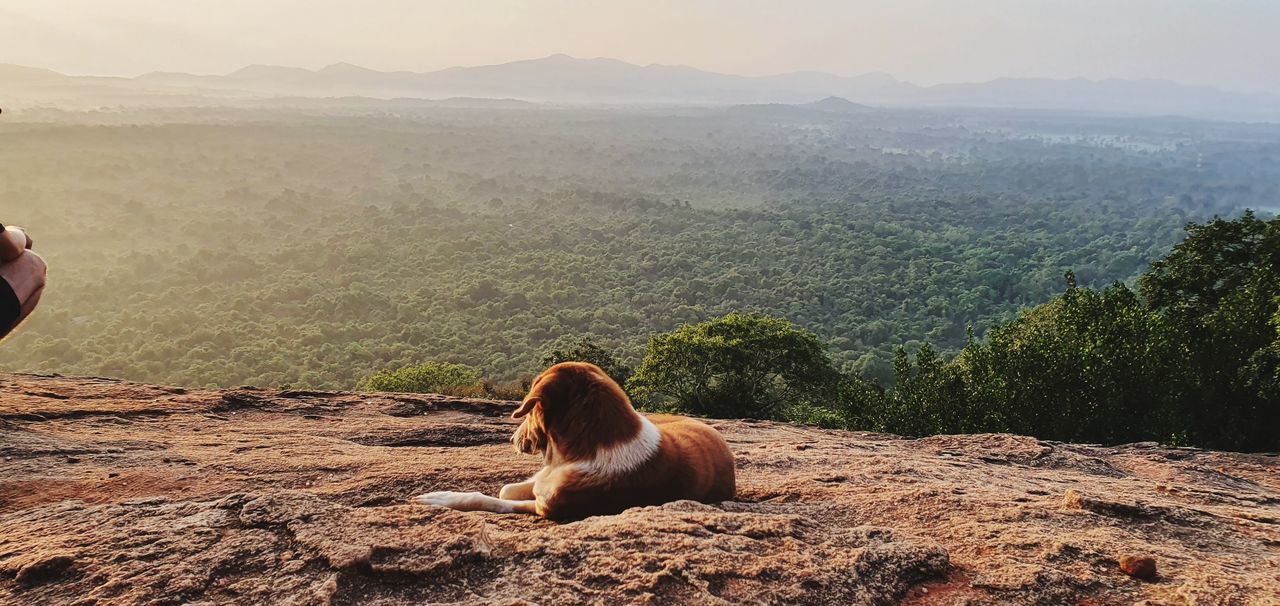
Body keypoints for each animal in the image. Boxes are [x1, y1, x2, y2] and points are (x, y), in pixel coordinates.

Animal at [409, 361, 732, 517]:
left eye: (530, 408)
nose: (512, 439)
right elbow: (506, 489)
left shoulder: (548, 508)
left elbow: (491, 500)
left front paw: (441, 498)